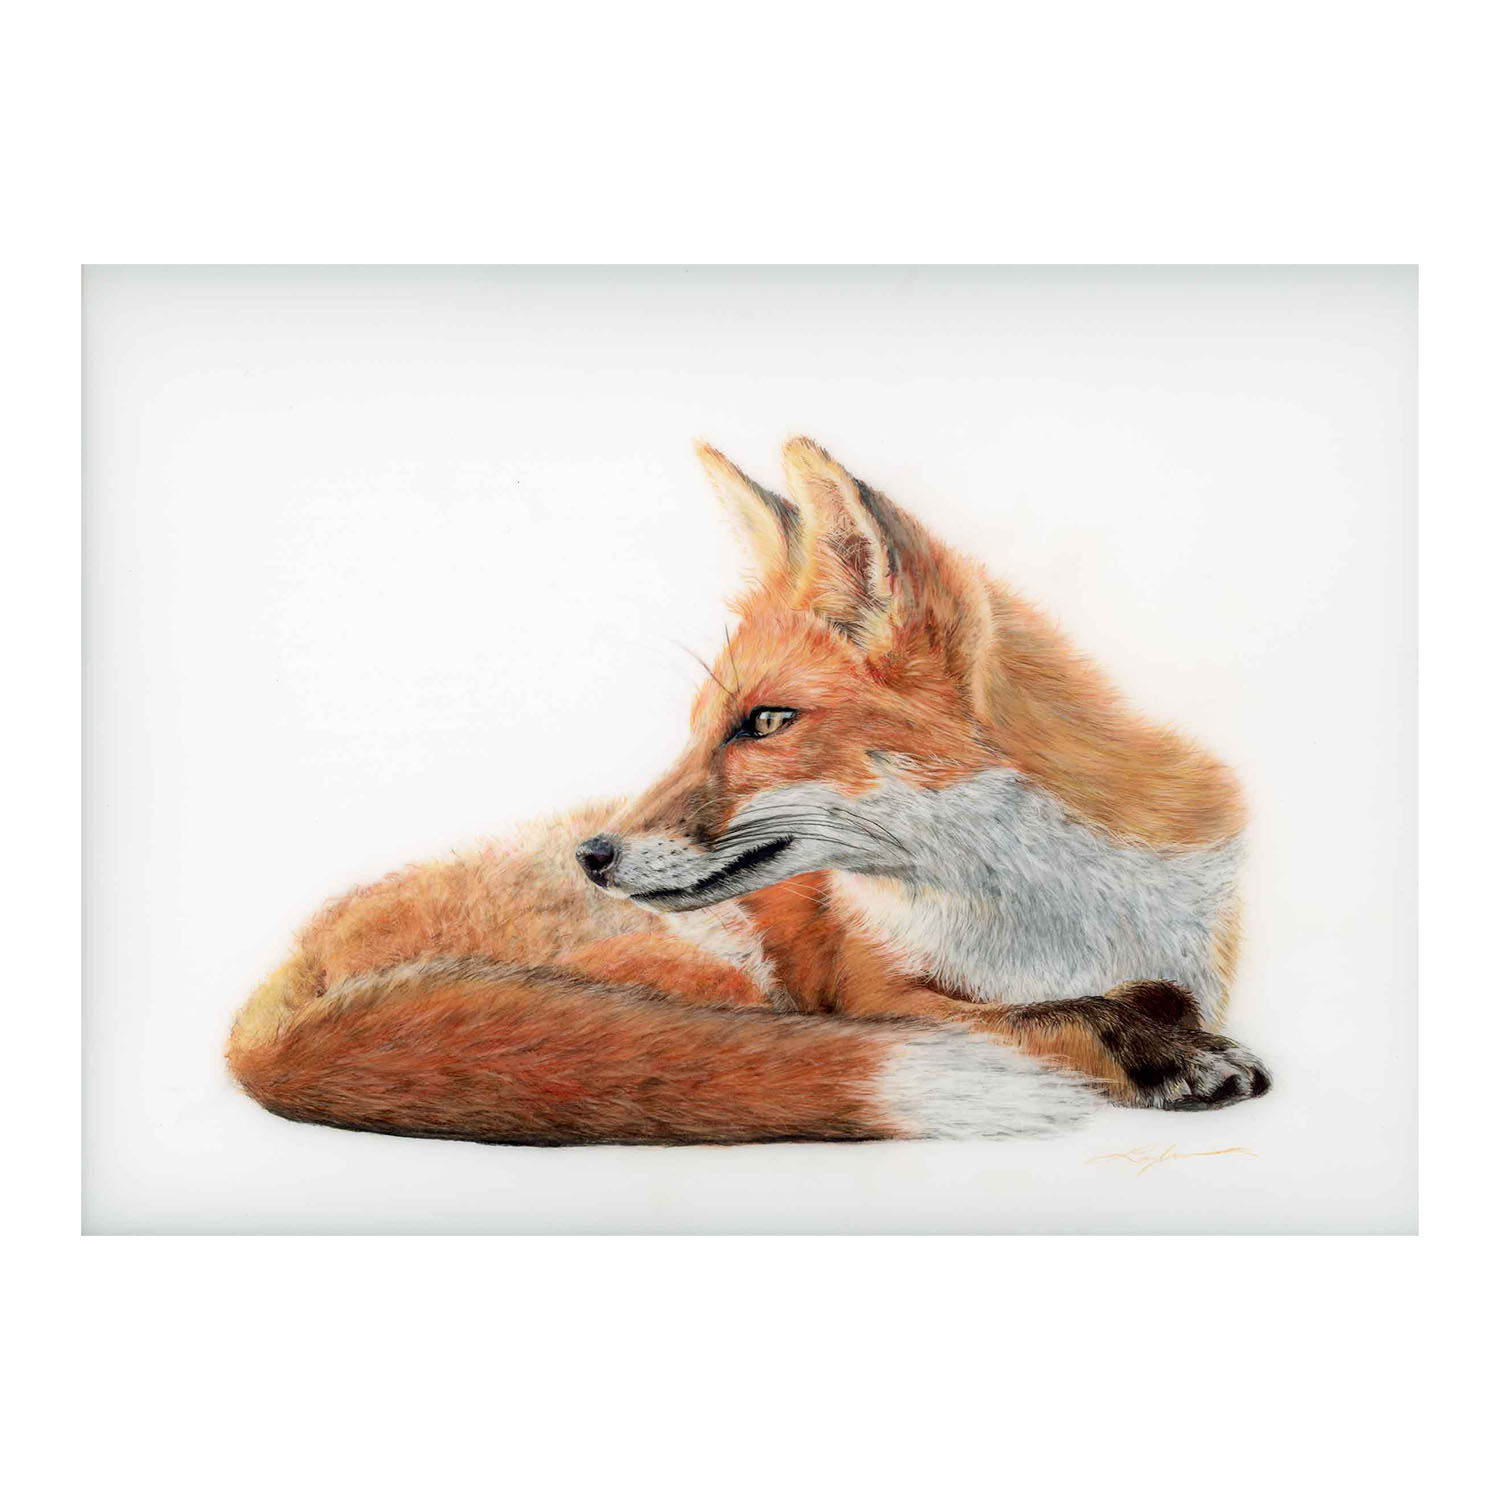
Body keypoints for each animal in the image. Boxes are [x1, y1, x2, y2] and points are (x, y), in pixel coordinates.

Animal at [227, 437, 1270, 1144]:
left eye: (764, 722)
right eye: (700, 725)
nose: (593, 857)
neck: (1047, 912)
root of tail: (291, 976)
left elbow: (1129, 999)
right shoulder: (877, 994)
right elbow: (1054, 1018)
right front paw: (1159, 1052)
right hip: (721, 968)